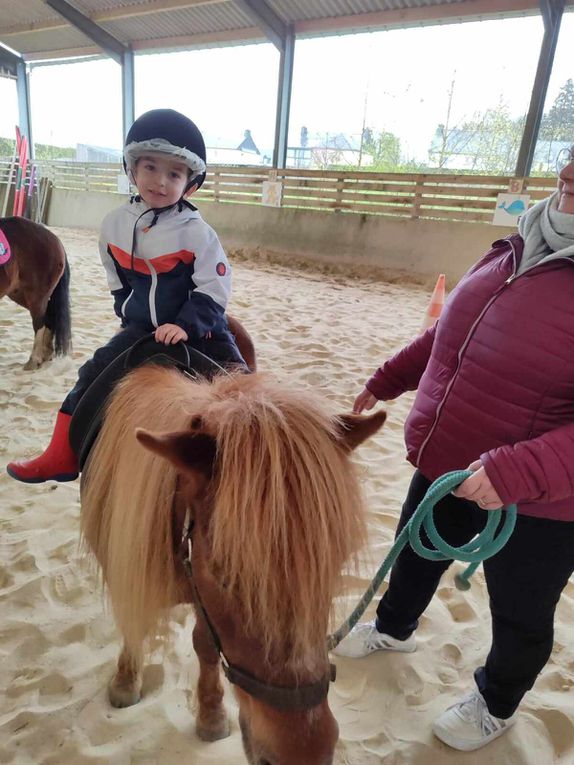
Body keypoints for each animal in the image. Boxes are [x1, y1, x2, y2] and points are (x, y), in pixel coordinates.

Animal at [0, 215, 71, 370]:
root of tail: (56, 240)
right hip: (20, 294)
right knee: (49, 316)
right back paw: (46, 355)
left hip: (36, 296)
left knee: (40, 322)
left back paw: (33, 361)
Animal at [81, 366, 388, 764]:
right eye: (225, 575)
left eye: (335, 564)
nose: (305, 751)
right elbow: (133, 619)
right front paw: (125, 681)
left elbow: (205, 645)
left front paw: (211, 714)